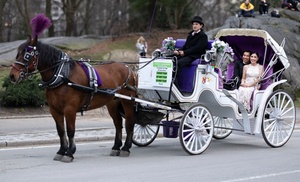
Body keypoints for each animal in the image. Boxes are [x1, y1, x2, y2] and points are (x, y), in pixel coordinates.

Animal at [9, 35, 138, 162]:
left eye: (26, 55)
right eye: (17, 54)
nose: (12, 76)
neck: (62, 75)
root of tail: (129, 68)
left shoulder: (70, 109)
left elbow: (70, 131)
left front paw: (70, 153)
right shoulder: (54, 110)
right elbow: (61, 131)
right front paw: (61, 151)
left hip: (127, 101)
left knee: (130, 122)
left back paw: (126, 148)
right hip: (112, 103)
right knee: (118, 124)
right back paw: (116, 147)